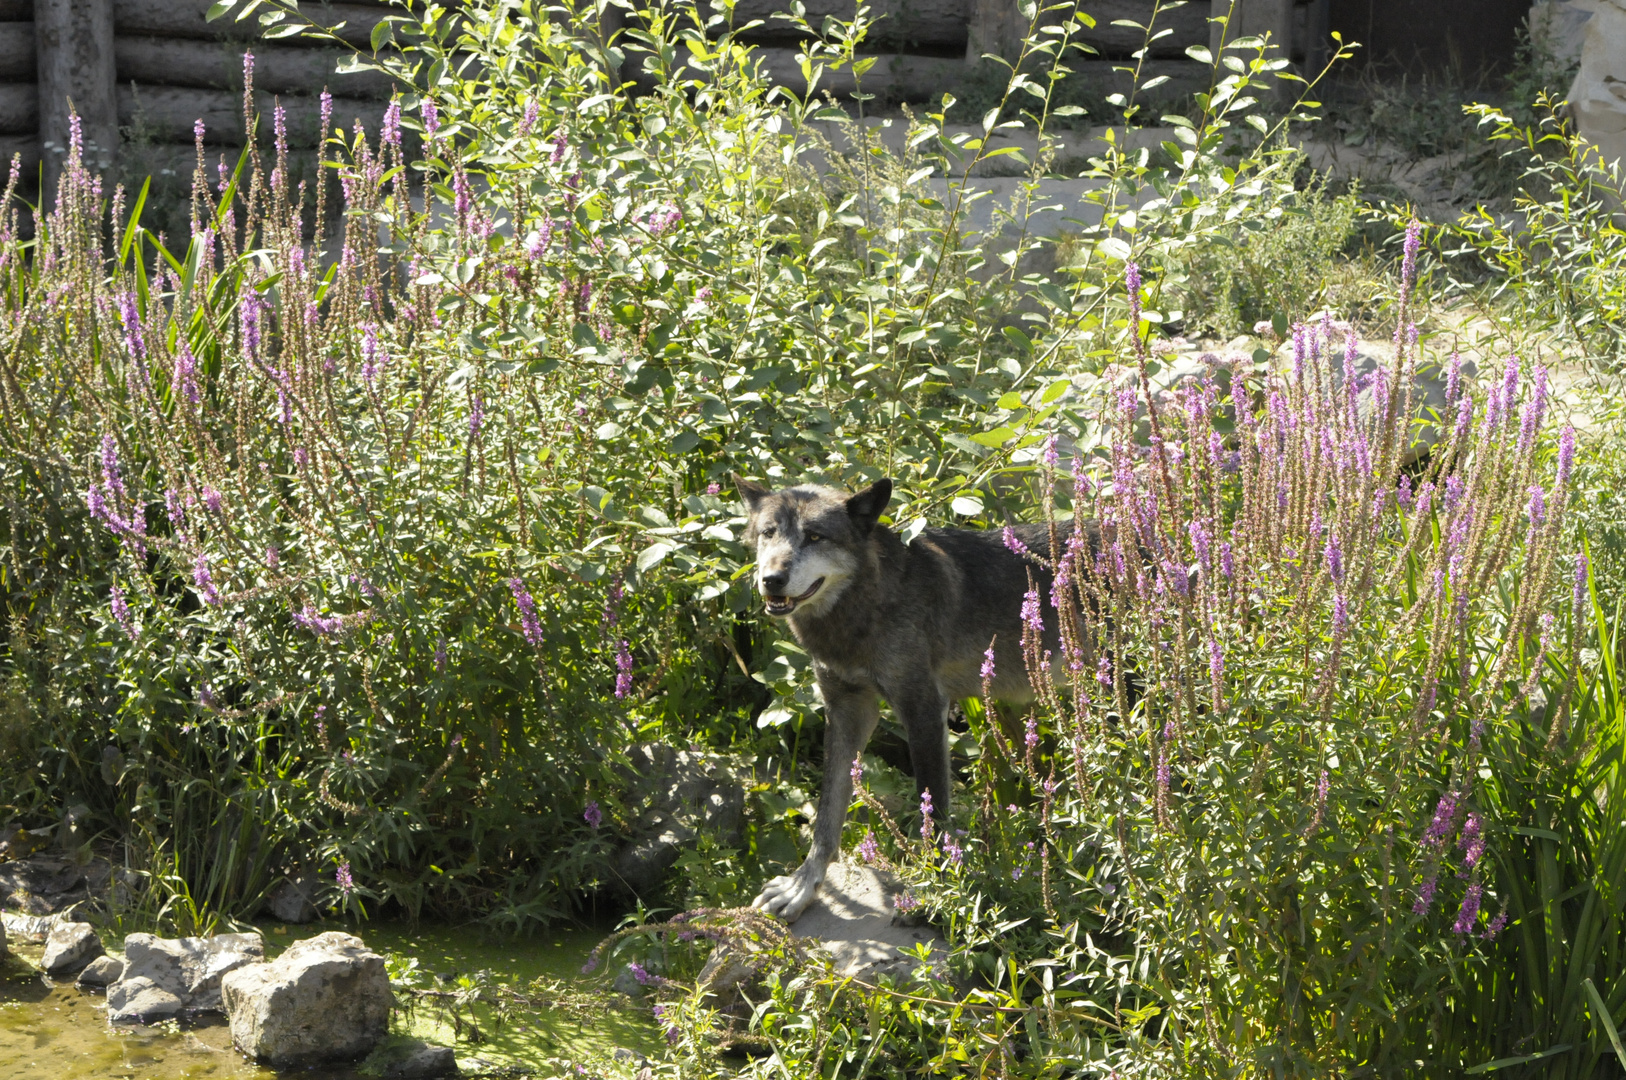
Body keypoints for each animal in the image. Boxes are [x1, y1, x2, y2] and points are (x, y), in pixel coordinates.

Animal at [738, 471, 1079, 917]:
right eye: (768, 533)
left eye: (814, 537)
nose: (771, 580)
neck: (868, 605)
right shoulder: (847, 710)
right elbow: (827, 816)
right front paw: (803, 886)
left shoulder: (924, 710)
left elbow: (932, 811)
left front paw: (942, 888)